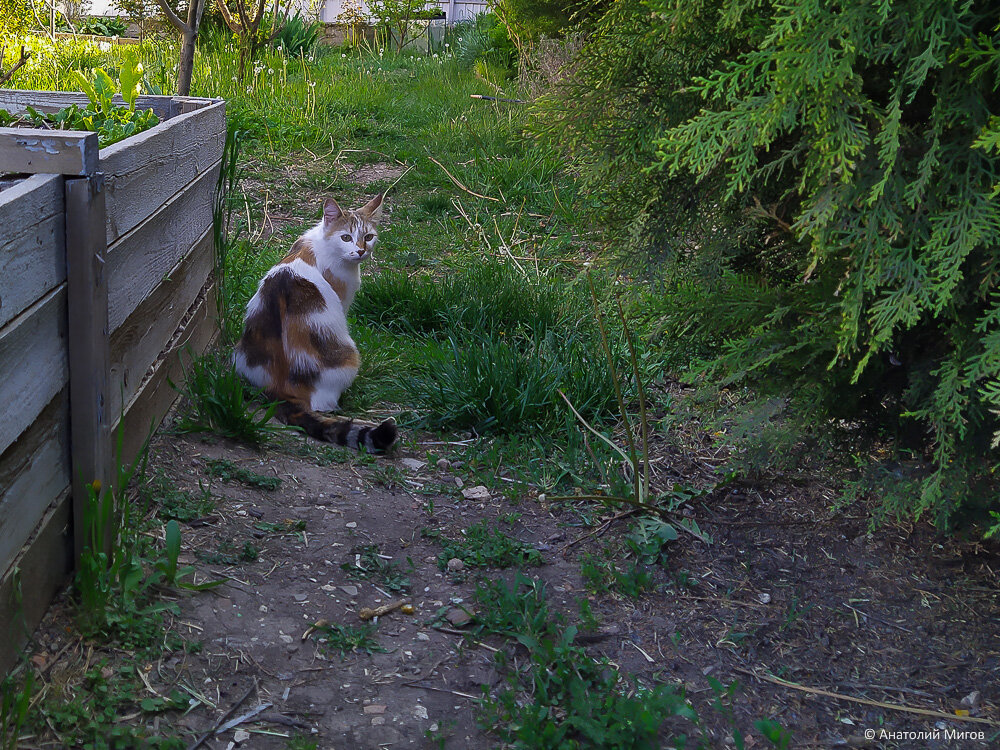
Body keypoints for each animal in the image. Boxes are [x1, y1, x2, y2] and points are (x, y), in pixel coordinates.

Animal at [235, 194, 398, 452]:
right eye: (346, 237)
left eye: (368, 237)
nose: (360, 251)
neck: (323, 243)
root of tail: (280, 390)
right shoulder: (343, 300)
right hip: (349, 357)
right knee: (324, 406)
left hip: (240, 356)